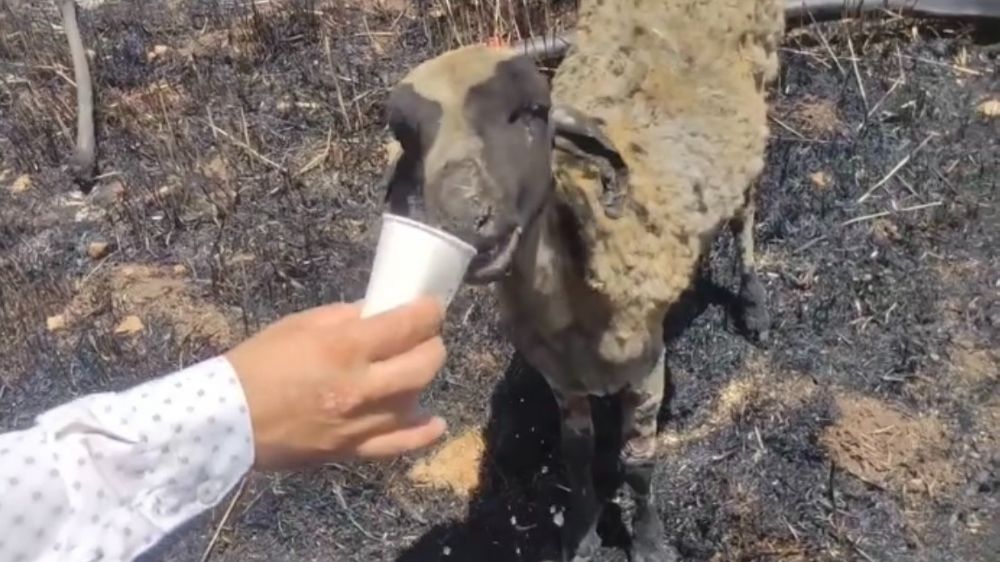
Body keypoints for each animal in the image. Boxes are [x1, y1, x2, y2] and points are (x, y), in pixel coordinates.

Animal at [386, 0, 784, 556]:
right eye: (407, 138)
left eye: (532, 113)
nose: (463, 220)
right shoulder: (561, 380)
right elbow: (575, 460)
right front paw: (583, 532)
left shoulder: (647, 367)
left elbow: (637, 465)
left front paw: (650, 543)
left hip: (755, 104)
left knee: (745, 214)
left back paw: (754, 307)